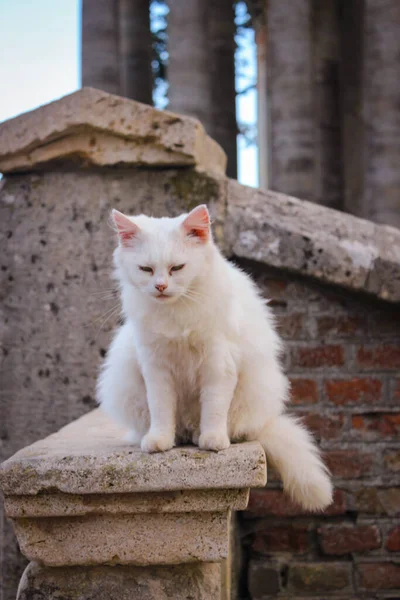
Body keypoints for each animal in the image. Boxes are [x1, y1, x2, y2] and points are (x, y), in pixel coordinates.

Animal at [97, 204, 332, 508]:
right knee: (174, 425)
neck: (177, 312)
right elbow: (161, 408)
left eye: (177, 268)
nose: (160, 287)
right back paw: (175, 436)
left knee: (227, 425)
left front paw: (212, 440)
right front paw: (159, 441)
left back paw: (201, 435)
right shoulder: (156, 367)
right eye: (146, 269)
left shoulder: (218, 364)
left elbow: (214, 407)